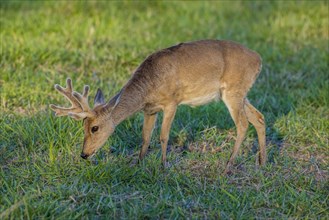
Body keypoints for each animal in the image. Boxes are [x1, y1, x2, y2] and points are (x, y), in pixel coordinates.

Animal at [50, 40, 266, 174]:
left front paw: (164, 166)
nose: (84, 154)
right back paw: (262, 162)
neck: (148, 87)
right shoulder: (150, 109)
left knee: (243, 124)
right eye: (83, 127)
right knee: (259, 118)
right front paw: (138, 164)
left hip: (233, 91)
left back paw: (227, 166)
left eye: (94, 128)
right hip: (240, 93)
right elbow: (145, 137)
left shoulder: (171, 102)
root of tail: (259, 60)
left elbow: (163, 136)